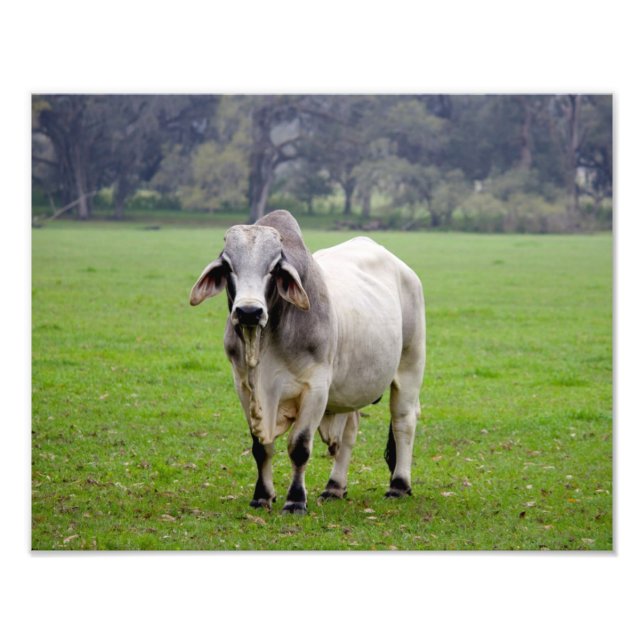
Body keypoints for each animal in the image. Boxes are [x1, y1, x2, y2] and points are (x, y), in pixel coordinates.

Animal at [190, 210, 425, 514]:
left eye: (274, 267)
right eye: (228, 265)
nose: (249, 312)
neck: (265, 344)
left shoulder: (316, 388)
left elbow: (299, 447)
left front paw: (295, 500)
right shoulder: (244, 387)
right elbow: (261, 447)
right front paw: (262, 495)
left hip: (410, 363)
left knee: (403, 421)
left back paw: (399, 485)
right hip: (350, 388)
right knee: (349, 432)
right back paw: (335, 487)